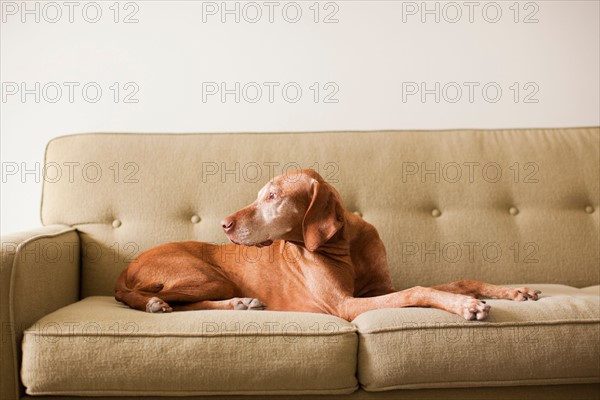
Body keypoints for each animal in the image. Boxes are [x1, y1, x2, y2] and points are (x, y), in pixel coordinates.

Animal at [115, 169, 540, 322]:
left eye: (273, 196)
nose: (224, 224)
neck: (345, 245)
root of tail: (126, 267)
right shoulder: (346, 304)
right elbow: (419, 290)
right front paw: (466, 306)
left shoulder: (378, 291)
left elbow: (460, 280)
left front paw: (514, 291)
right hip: (206, 276)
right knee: (144, 297)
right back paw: (156, 304)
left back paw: (240, 304)